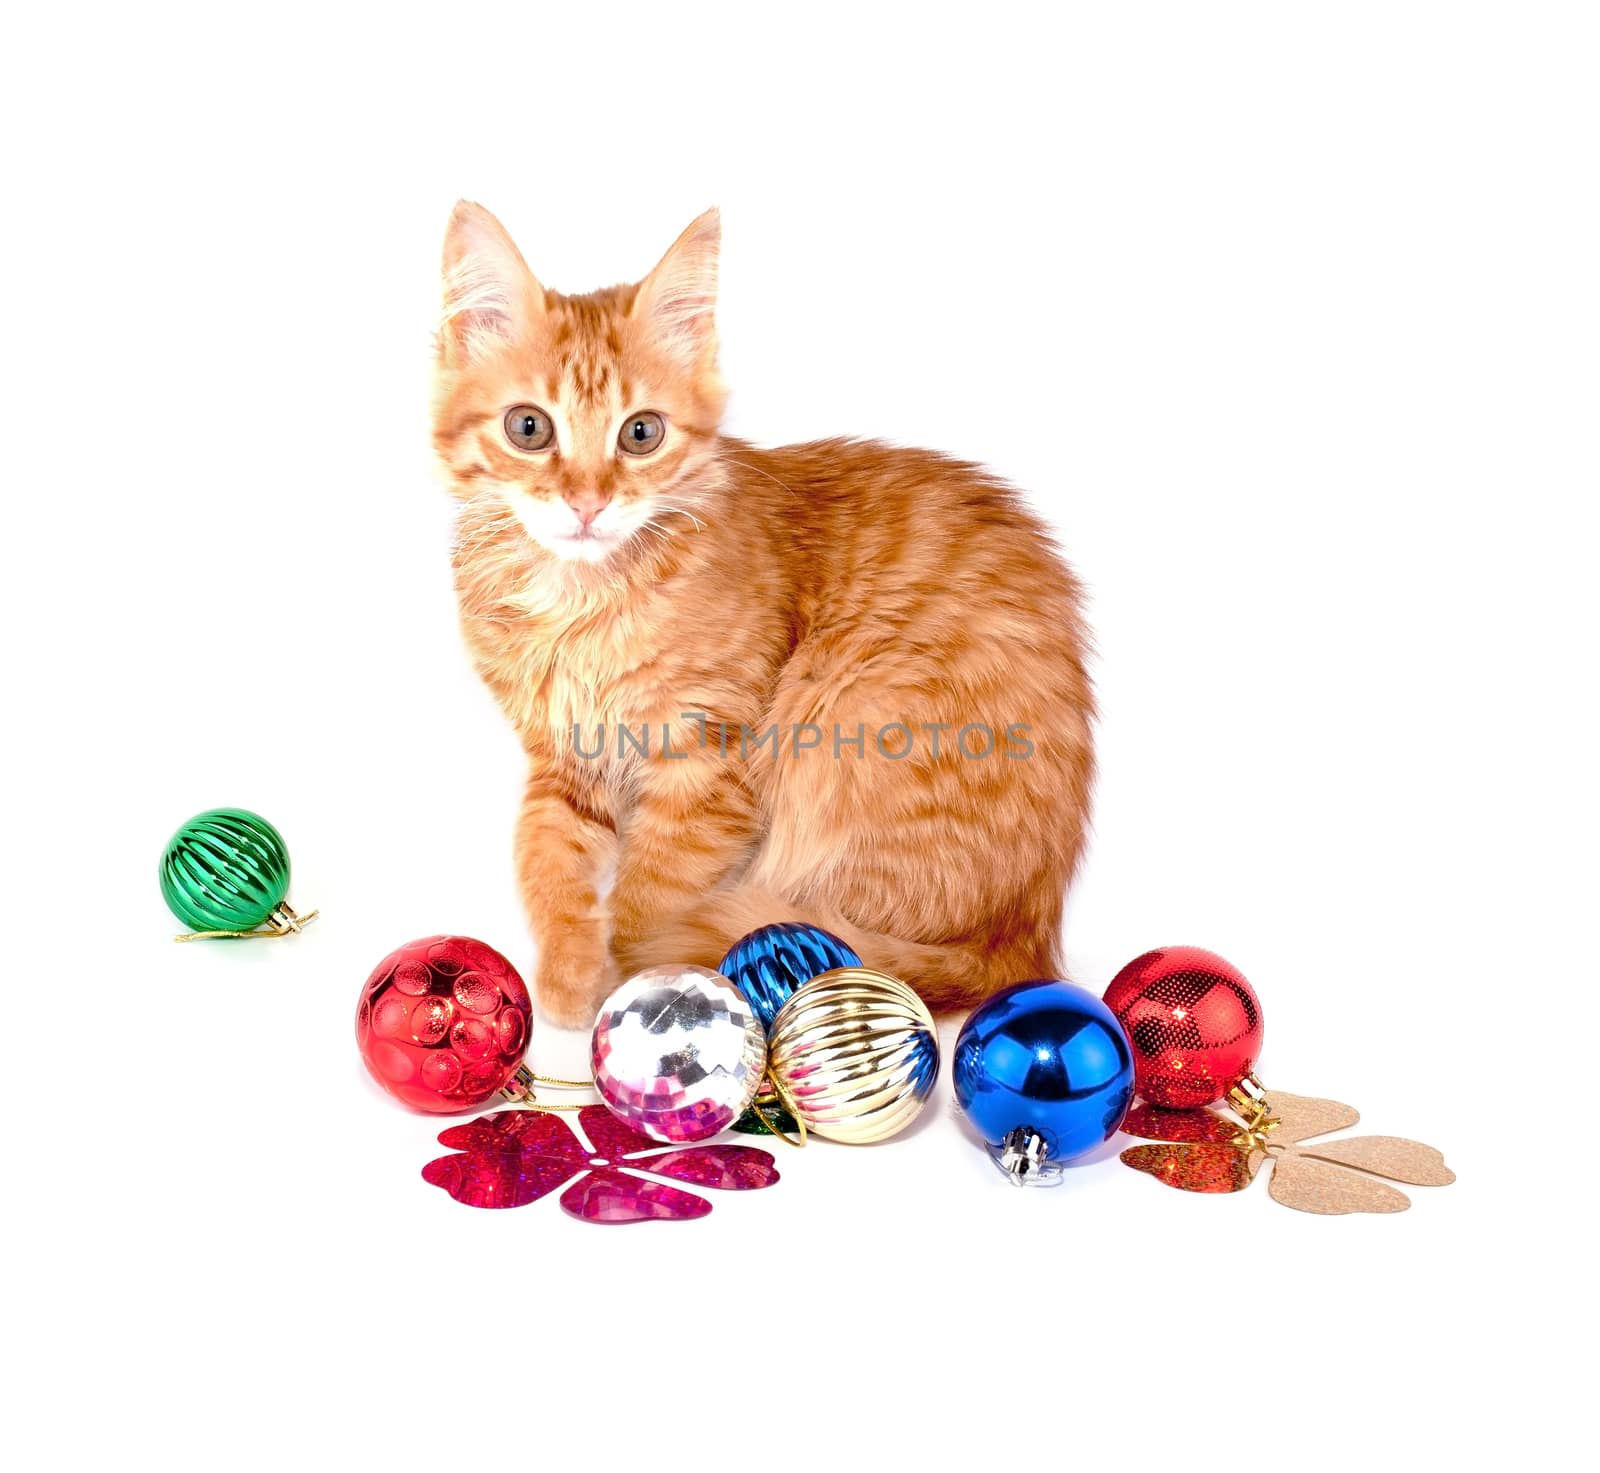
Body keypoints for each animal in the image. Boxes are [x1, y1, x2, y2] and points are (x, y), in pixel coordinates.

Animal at [432, 203, 1094, 1023]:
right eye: (529, 427)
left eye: (640, 433)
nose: (587, 502)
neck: (584, 602)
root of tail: (1025, 937)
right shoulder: (564, 758)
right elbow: (545, 861)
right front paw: (567, 970)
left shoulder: (707, 767)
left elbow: (650, 897)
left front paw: (632, 978)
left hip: (846, 724)